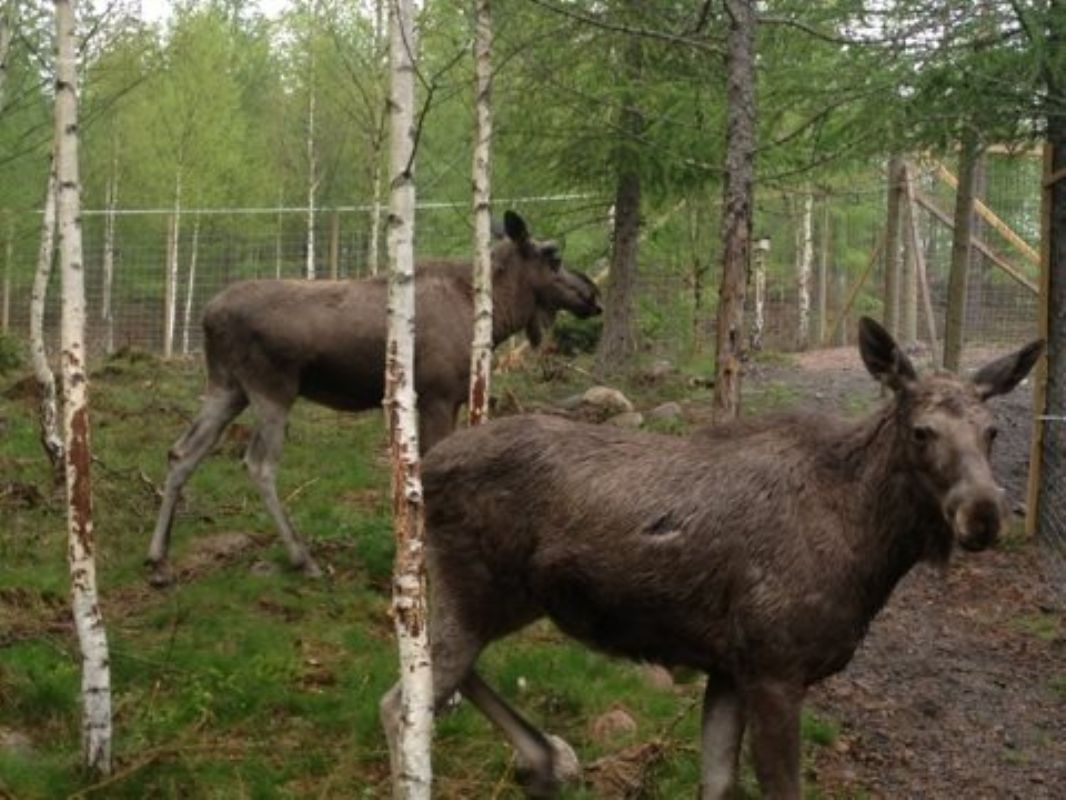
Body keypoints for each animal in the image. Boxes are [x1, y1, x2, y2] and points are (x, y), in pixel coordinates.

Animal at [146, 211, 605, 588]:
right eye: (554, 257)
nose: (594, 294)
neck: (493, 319)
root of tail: (207, 317)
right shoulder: (437, 396)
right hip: (271, 389)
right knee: (258, 464)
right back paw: (302, 558)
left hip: (228, 387)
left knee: (181, 451)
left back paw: (158, 560)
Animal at [381, 320, 1040, 800]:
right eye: (923, 431)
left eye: (992, 432)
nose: (984, 515)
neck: (868, 553)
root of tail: (423, 471)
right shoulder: (776, 669)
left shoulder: (730, 667)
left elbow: (718, 784)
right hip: (477, 587)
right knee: (402, 702)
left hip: (507, 598)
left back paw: (543, 758)